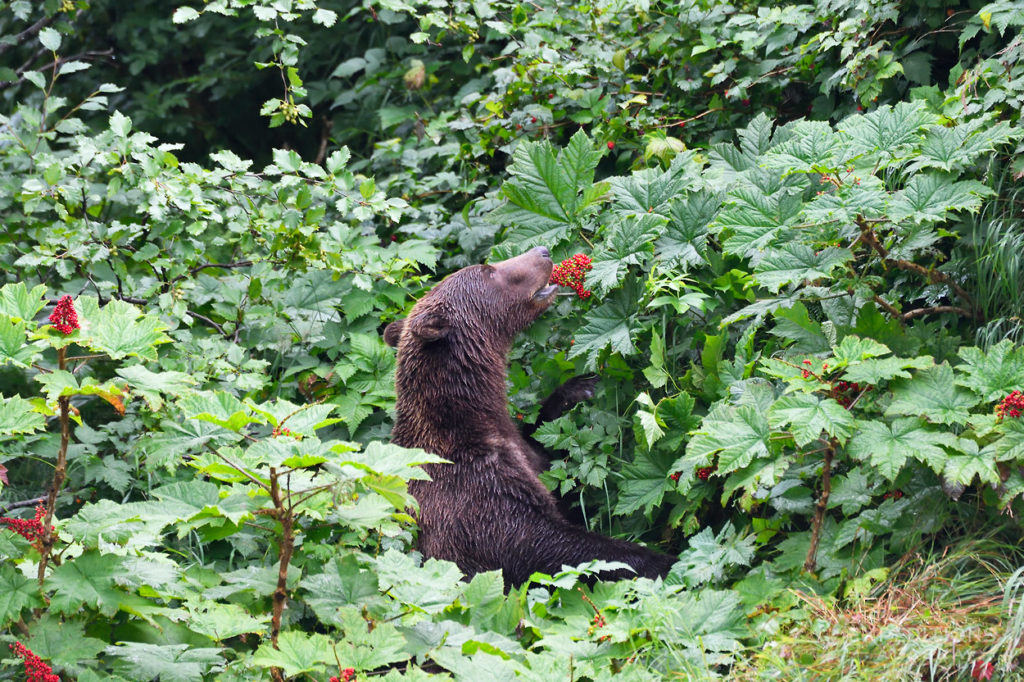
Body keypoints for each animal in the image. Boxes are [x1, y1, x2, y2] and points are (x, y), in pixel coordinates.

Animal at [380, 244, 675, 585]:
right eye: (489, 270)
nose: (542, 250)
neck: (473, 416)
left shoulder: (523, 456)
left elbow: (546, 453)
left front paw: (580, 387)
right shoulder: (473, 493)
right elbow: (547, 544)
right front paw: (663, 560)